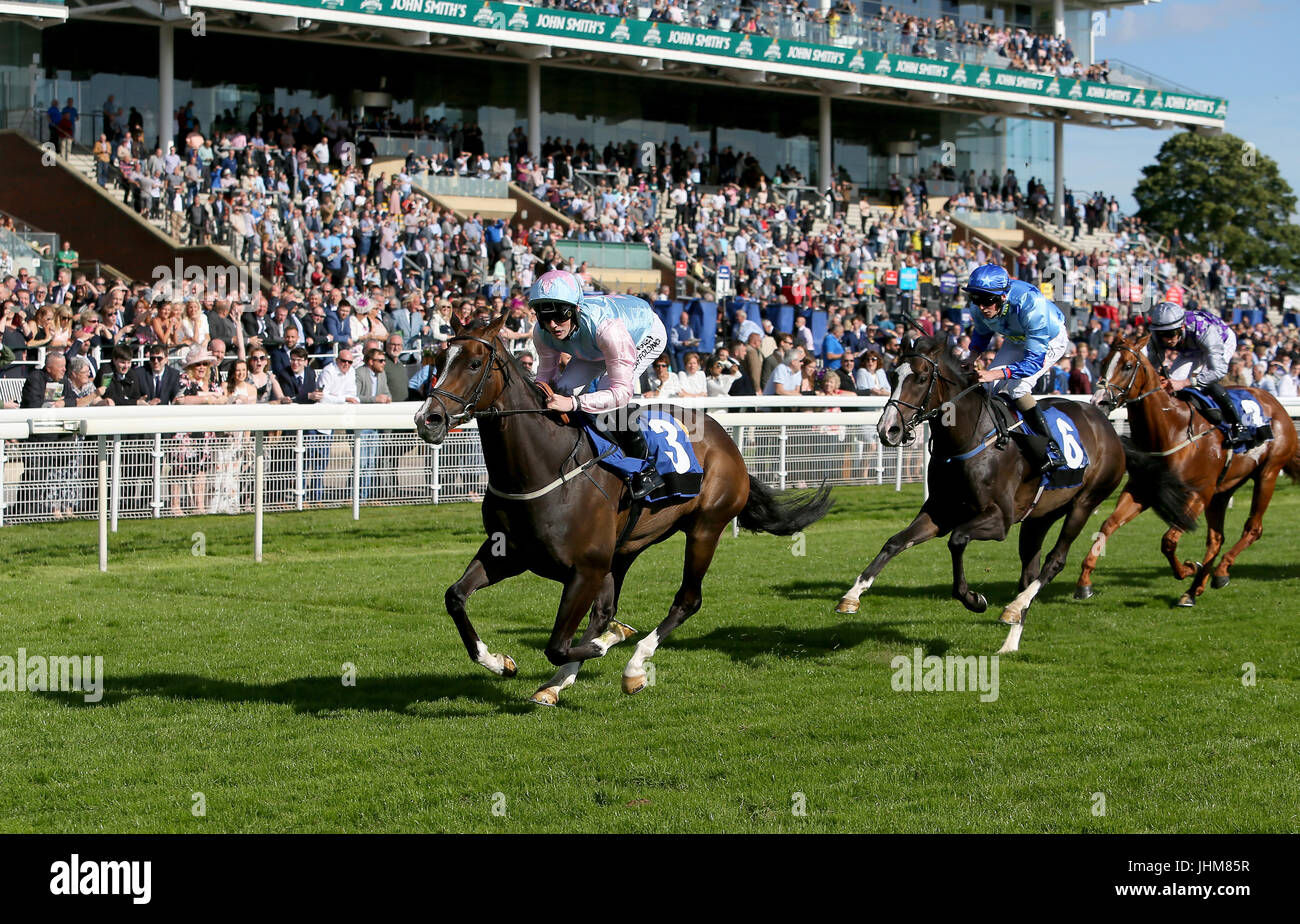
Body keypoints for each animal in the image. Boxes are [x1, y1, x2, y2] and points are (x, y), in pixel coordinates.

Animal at [413, 314, 832, 706]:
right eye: (439, 359)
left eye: (474, 362)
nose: (427, 419)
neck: (543, 467)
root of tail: (724, 437)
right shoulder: (510, 553)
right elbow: (455, 597)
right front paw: (500, 662)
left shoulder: (585, 569)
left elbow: (557, 645)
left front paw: (610, 641)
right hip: (624, 548)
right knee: (605, 608)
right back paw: (557, 683)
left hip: (705, 528)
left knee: (687, 600)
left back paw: (633, 667)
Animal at [832, 335, 1128, 654]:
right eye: (892, 376)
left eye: (921, 378)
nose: (888, 429)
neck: (966, 440)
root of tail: (1102, 420)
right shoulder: (940, 512)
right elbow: (895, 542)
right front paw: (852, 595)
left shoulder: (999, 520)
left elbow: (957, 540)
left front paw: (974, 599)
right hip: (1039, 516)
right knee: (1030, 571)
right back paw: (1010, 638)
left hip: (1084, 503)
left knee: (1055, 561)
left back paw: (1015, 607)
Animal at [1076, 332, 1300, 608]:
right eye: (1105, 361)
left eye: (1127, 365)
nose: (1099, 400)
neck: (1172, 430)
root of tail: (1275, 403)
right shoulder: (1143, 490)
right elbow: (1107, 525)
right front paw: (1084, 581)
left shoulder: (1197, 494)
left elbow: (1168, 540)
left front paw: (1188, 568)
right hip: (1221, 491)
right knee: (1216, 539)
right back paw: (1194, 590)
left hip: (1267, 473)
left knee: (1253, 529)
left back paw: (1221, 571)